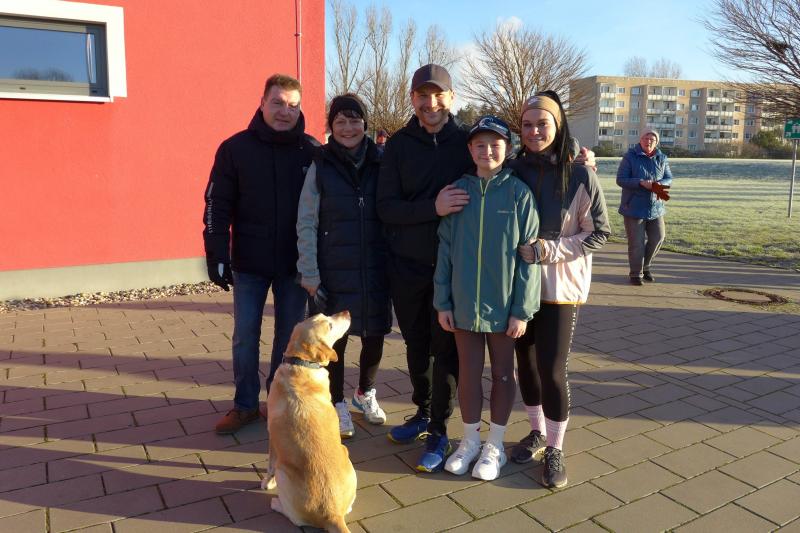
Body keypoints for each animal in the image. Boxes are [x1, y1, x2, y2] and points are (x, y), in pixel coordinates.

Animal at [262, 311, 356, 533]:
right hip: (347, 456)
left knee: (294, 518)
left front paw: (266, 483)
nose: (347, 311)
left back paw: (276, 503)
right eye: (328, 322)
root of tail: (333, 514)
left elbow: (269, 466)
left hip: (283, 471)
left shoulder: (272, 438)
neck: (300, 365)